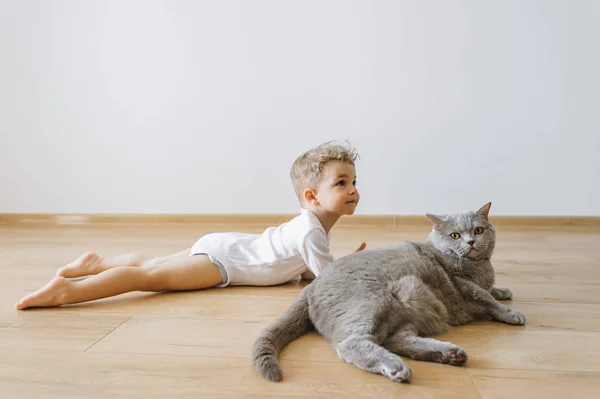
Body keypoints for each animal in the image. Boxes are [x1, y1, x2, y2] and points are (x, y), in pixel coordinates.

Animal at [251, 203, 524, 384]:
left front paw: (504, 289)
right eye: (455, 235)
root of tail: (312, 286)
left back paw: (448, 354)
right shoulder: (465, 287)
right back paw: (398, 368)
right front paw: (512, 313)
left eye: (478, 230)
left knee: (395, 340)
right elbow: (487, 299)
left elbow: (492, 290)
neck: (479, 266)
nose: (470, 242)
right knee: (352, 343)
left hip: (406, 310)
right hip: (372, 303)